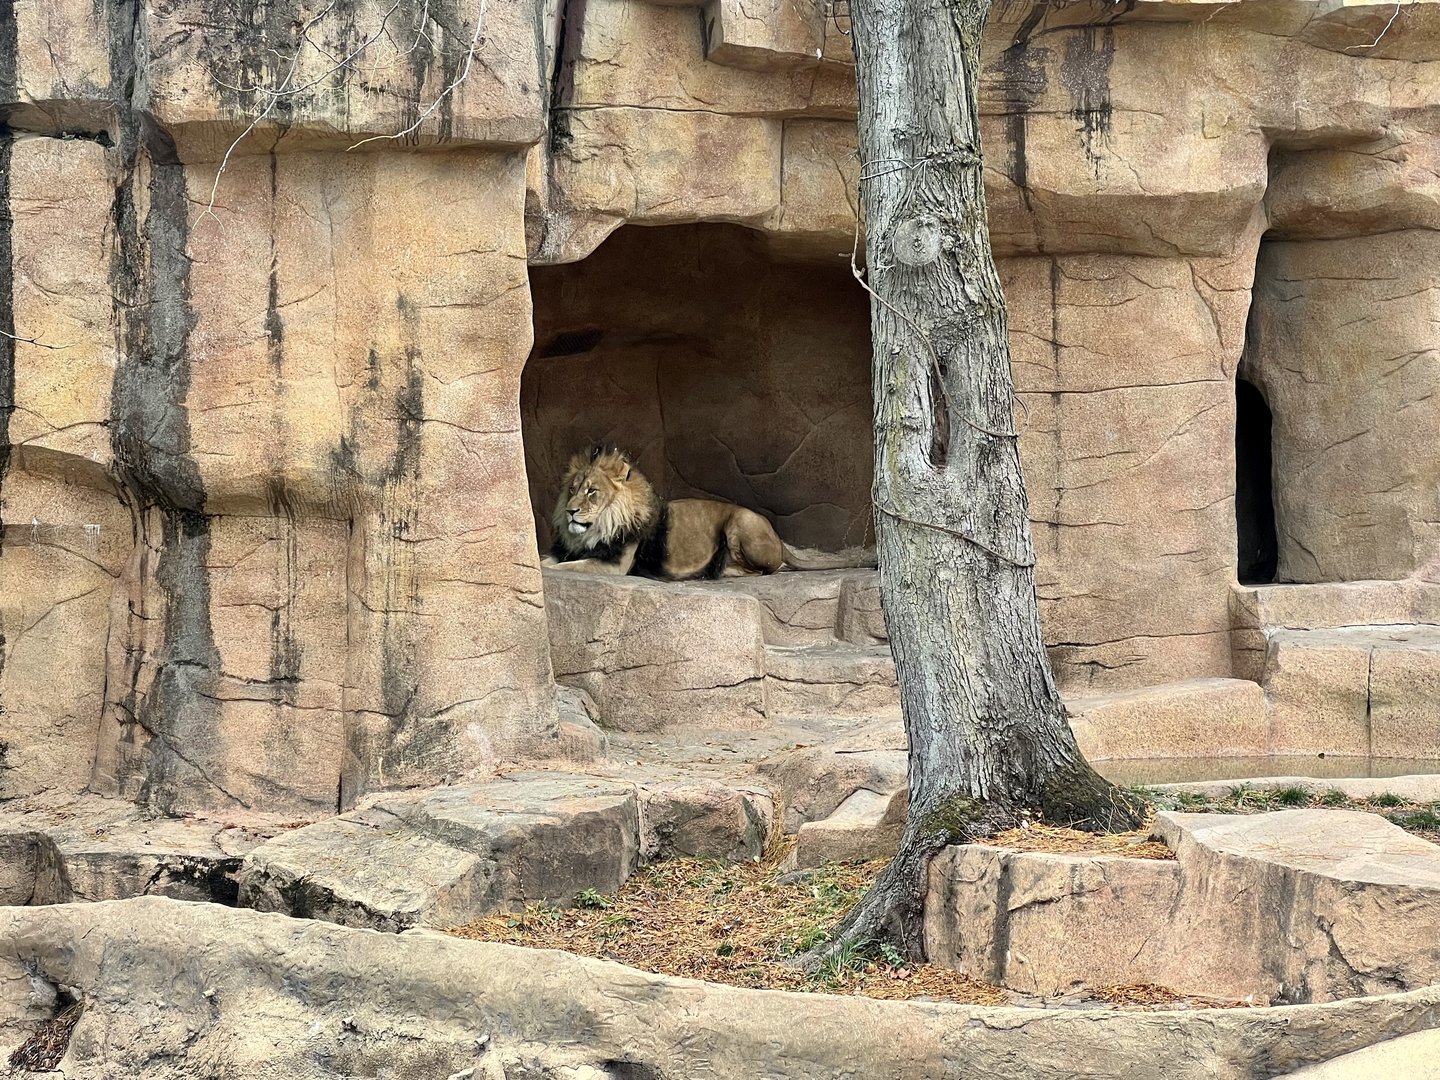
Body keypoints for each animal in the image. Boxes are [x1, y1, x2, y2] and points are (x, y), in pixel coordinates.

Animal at [540, 445, 876, 580]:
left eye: (592, 492)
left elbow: (568, 568)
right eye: (572, 489)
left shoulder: (615, 565)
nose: (570, 511)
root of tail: (780, 541)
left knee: (766, 569)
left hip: (741, 522)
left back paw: (718, 570)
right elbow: (551, 560)